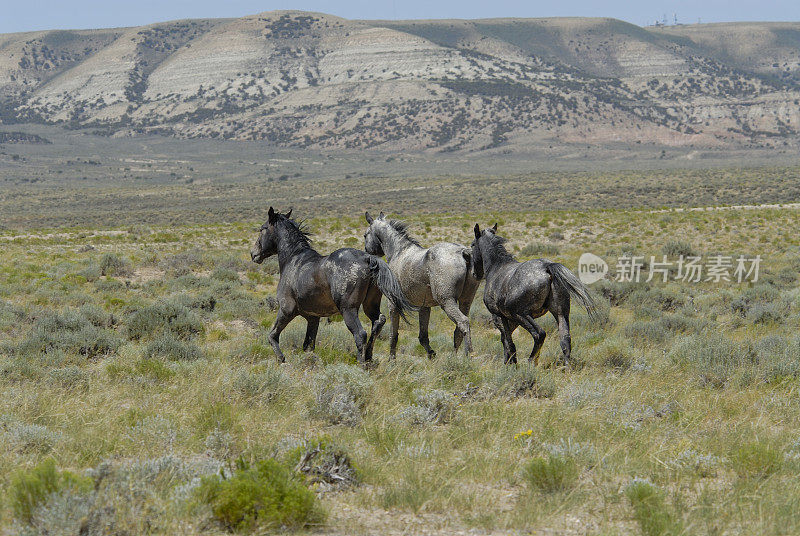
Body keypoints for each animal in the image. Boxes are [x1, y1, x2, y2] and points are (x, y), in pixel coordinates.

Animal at [248, 207, 412, 366]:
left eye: (262, 229)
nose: (253, 254)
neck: (293, 259)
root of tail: (368, 258)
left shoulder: (286, 310)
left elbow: (272, 336)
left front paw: (281, 359)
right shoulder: (313, 318)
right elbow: (308, 346)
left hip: (348, 309)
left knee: (360, 334)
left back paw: (362, 365)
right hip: (369, 306)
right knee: (377, 323)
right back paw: (369, 359)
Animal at [364, 211, 482, 358]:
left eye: (365, 235)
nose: (366, 252)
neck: (399, 251)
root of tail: (462, 253)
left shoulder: (393, 304)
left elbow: (393, 334)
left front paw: (392, 358)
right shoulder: (424, 307)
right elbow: (423, 336)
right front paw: (431, 354)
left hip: (447, 302)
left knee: (463, 322)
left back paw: (469, 354)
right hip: (465, 301)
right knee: (458, 331)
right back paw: (455, 357)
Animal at [472, 222, 596, 364]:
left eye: (472, 245)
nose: (474, 274)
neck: (496, 267)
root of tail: (547, 267)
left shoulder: (499, 316)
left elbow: (508, 342)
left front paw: (511, 364)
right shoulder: (510, 320)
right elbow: (506, 341)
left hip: (520, 314)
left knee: (539, 334)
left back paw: (531, 361)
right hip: (560, 314)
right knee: (565, 341)